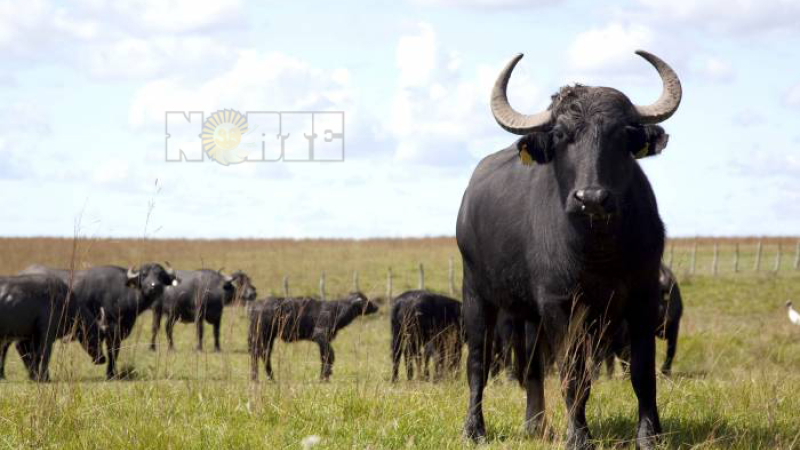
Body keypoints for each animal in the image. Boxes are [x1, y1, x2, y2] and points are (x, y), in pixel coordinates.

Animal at [248, 292, 378, 381]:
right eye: (366, 300)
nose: (376, 306)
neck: (337, 310)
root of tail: (256, 306)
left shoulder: (324, 341)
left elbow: (324, 356)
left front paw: (325, 376)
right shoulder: (320, 336)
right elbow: (329, 355)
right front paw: (325, 376)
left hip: (269, 338)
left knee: (265, 354)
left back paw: (270, 378)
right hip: (262, 335)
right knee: (257, 354)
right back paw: (256, 378)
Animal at [456, 50, 681, 449]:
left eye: (621, 134)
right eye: (562, 135)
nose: (591, 198)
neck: (599, 249)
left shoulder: (644, 296)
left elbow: (643, 372)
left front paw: (649, 436)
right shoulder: (561, 304)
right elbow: (574, 374)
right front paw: (578, 436)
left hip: (530, 313)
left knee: (530, 365)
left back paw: (536, 426)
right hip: (477, 294)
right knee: (478, 362)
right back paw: (475, 429)